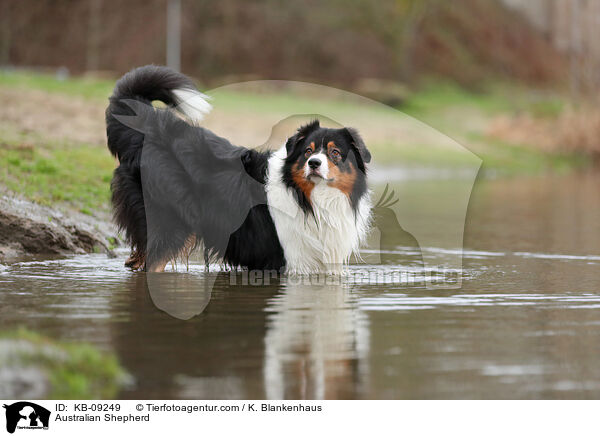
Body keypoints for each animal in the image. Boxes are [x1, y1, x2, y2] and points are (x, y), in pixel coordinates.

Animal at [105, 64, 372, 272]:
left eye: (335, 153)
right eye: (308, 151)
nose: (314, 164)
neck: (311, 199)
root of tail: (148, 126)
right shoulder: (284, 261)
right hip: (170, 225)